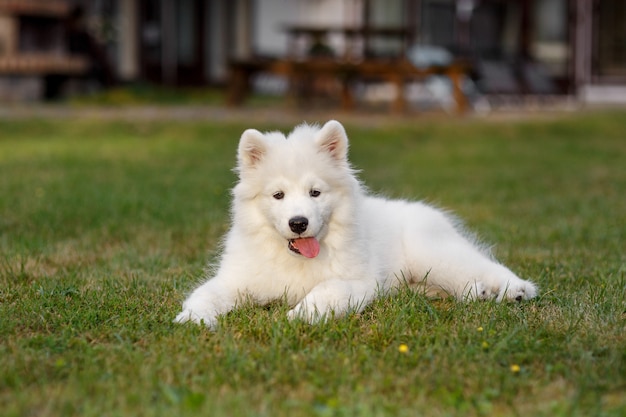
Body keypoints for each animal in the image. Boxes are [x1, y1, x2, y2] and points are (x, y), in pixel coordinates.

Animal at [176, 118, 536, 326]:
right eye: (278, 195)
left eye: (315, 192)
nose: (298, 223)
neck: (294, 260)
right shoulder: (235, 280)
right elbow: (205, 294)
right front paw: (191, 318)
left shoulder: (358, 282)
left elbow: (325, 291)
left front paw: (298, 316)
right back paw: (473, 294)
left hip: (436, 254)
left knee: (484, 266)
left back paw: (515, 290)